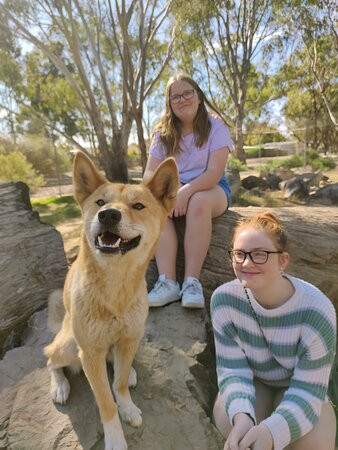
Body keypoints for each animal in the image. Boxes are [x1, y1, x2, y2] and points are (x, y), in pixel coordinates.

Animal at [45, 152, 180, 450]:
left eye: (138, 205)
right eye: (100, 202)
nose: (107, 215)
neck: (116, 289)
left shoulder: (129, 338)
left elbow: (118, 385)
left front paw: (127, 406)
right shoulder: (90, 353)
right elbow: (106, 403)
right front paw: (116, 438)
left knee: (119, 365)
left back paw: (129, 372)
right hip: (69, 344)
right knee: (49, 358)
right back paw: (59, 385)